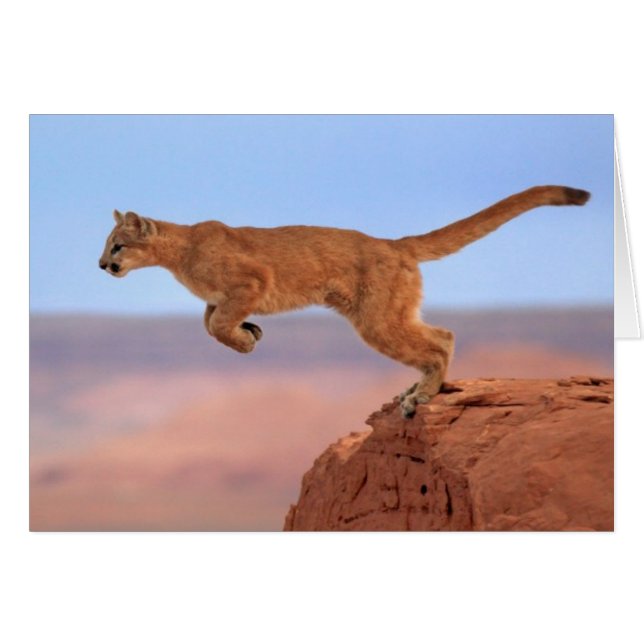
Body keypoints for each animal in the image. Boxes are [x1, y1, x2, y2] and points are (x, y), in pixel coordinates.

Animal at [99, 185, 590, 417]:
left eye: (118, 245)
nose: (102, 265)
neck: (179, 252)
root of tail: (394, 243)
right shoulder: (221, 298)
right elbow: (209, 322)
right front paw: (251, 330)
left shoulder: (253, 281)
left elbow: (218, 325)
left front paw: (246, 340)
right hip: (391, 312)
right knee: (443, 332)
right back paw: (415, 389)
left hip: (377, 320)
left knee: (439, 342)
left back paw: (421, 396)